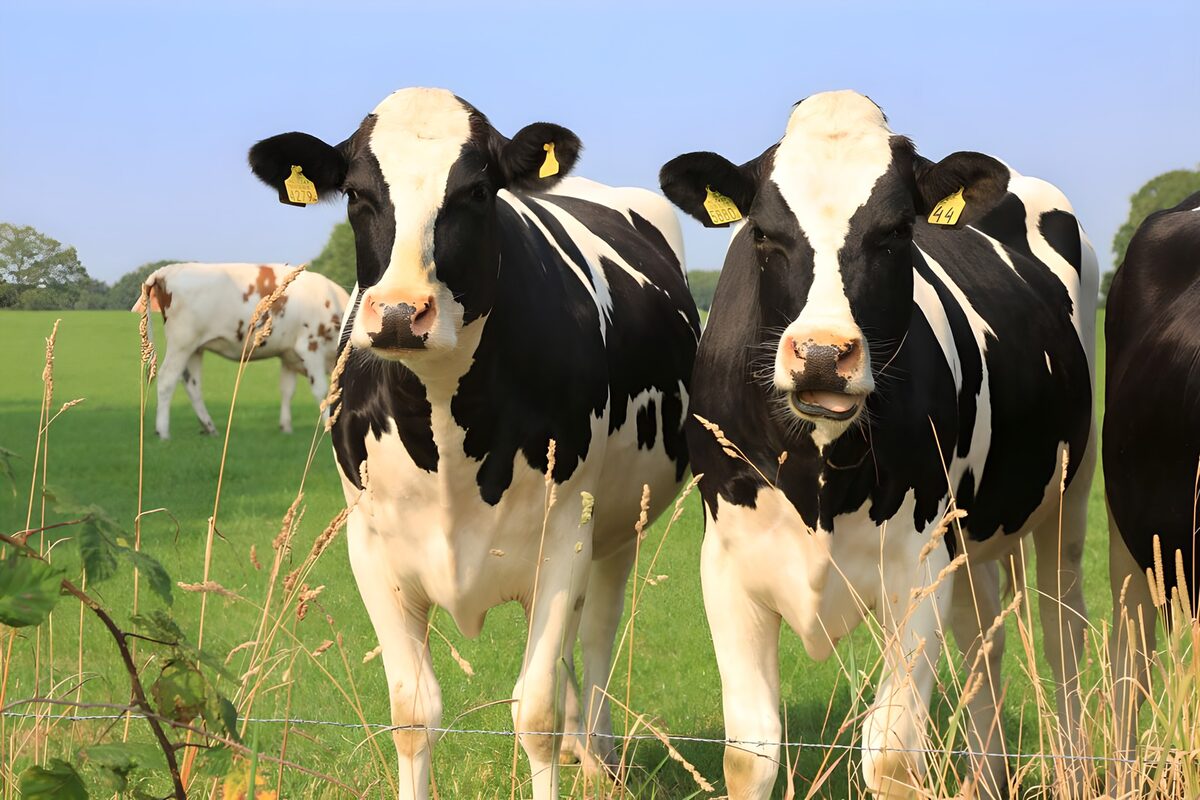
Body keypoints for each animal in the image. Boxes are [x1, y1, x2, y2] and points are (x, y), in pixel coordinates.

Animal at [132, 262, 349, 439]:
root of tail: (167, 270)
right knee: (167, 379)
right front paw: (327, 425)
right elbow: (322, 390)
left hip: (195, 348)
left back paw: (209, 428)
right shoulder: (311, 346)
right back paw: (163, 432)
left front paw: (286, 427)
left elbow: (287, 390)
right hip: (182, 343)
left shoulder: (288, 355)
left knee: (192, 384)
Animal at [247, 87, 699, 799]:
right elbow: (412, 713)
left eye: (477, 191)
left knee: (596, 636)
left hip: (615, 528)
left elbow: (535, 711)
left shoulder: (564, 536)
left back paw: (598, 756)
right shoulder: (370, 547)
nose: (400, 313)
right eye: (357, 194)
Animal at [658, 90, 1098, 799]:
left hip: (1068, 499)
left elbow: (891, 756)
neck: (817, 471)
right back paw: (985, 777)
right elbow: (750, 754)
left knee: (1064, 634)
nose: (820, 355)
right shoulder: (726, 565)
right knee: (985, 641)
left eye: (894, 232)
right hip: (969, 544)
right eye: (763, 233)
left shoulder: (916, 571)